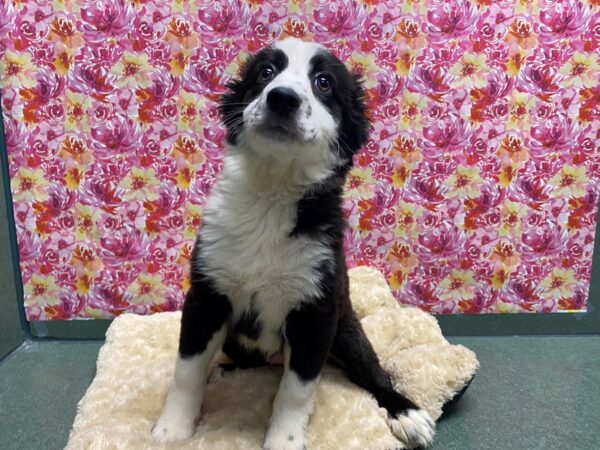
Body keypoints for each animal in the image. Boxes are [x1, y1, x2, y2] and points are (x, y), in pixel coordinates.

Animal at [154, 37, 436, 450]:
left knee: (373, 371)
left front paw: (283, 439)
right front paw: (172, 428)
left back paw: (406, 412)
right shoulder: (207, 295)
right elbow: (186, 368)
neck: (273, 193)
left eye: (324, 83)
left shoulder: (316, 311)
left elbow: (296, 389)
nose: (282, 98)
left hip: (347, 329)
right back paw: (223, 371)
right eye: (266, 73)